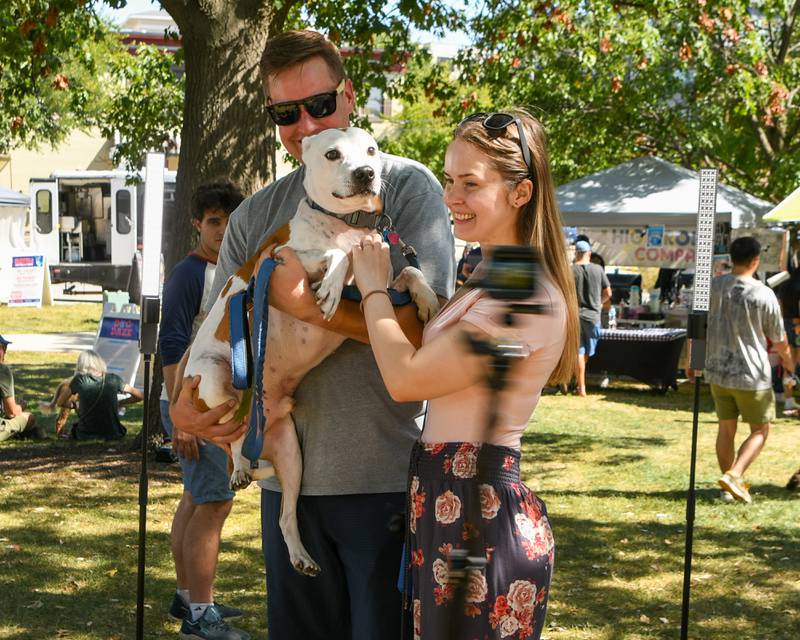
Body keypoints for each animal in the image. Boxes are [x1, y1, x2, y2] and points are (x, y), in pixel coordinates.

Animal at [185, 127, 440, 576]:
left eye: (371, 150)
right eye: (332, 154)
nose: (366, 173)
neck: (346, 226)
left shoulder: (382, 289)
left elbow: (408, 270)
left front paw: (426, 295)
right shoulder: (283, 259)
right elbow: (336, 254)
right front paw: (333, 284)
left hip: (292, 456)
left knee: (286, 516)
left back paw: (301, 557)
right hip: (214, 378)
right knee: (232, 438)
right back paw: (238, 468)